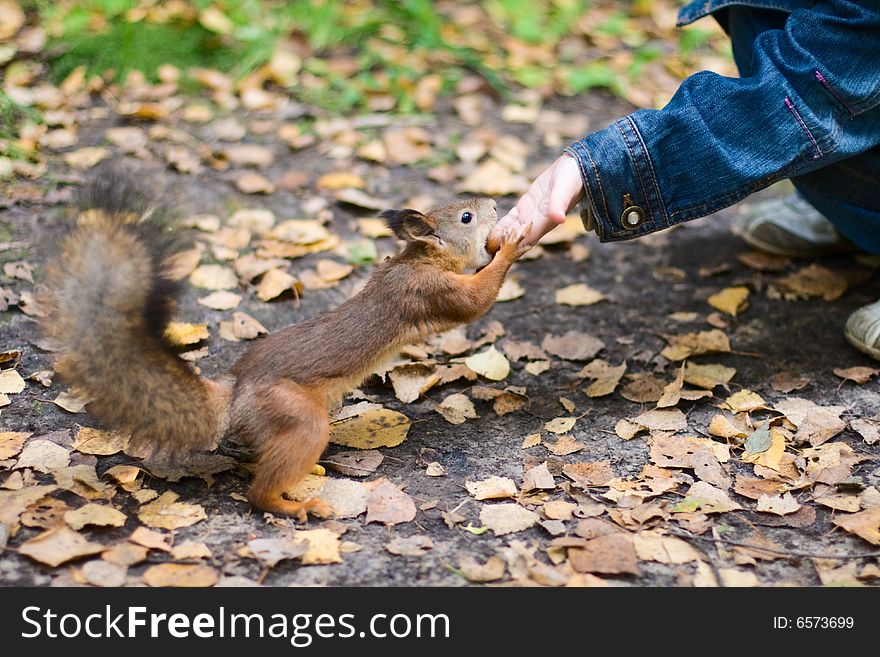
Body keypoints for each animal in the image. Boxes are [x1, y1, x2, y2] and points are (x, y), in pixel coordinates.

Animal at [41, 173, 524, 516]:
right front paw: (513, 246)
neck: (420, 259)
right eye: (466, 218)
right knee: (261, 489)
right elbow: (473, 302)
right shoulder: (425, 292)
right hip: (293, 411)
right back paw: (294, 505)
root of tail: (236, 394)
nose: (494, 205)